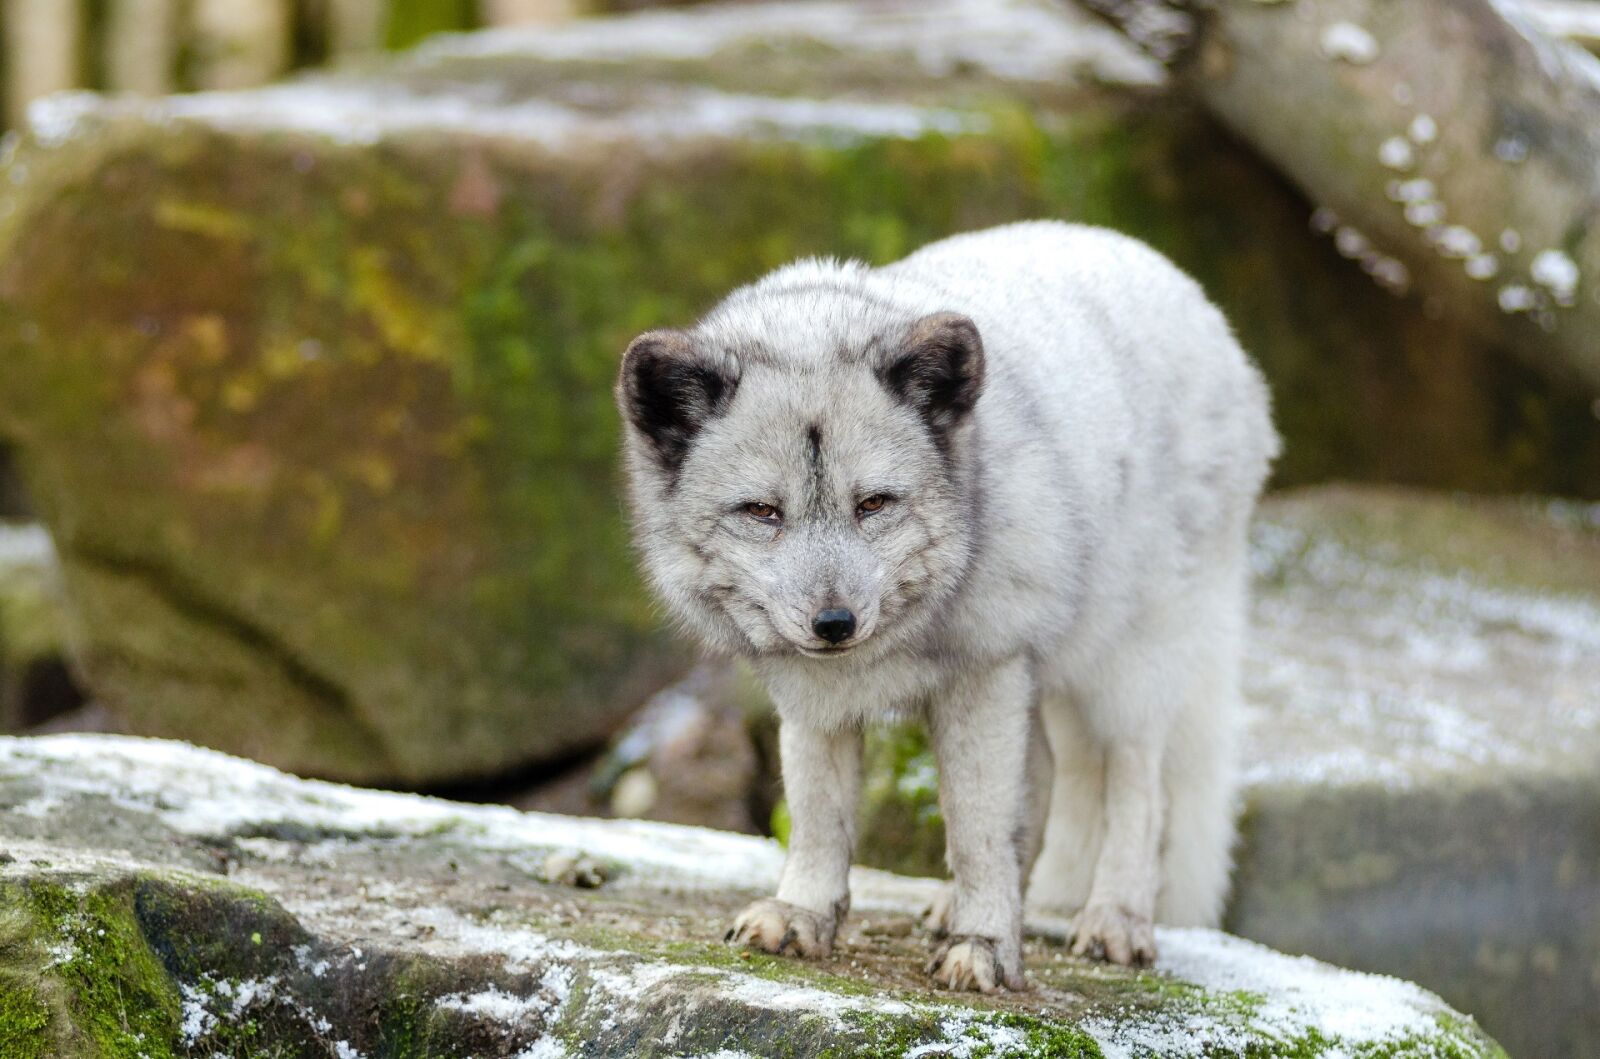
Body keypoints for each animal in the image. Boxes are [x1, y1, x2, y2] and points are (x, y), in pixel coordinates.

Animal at [614, 221, 1278, 992]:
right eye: (762, 512)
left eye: (874, 503)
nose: (834, 624)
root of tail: (1190, 293)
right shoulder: (813, 696)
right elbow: (817, 814)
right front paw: (804, 914)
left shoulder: (986, 671)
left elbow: (978, 827)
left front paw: (985, 944)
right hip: (1050, 674)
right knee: (1060, 776)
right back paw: (1019, 903)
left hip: (1129, 665)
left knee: (1137, 784)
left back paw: (1113, 919)